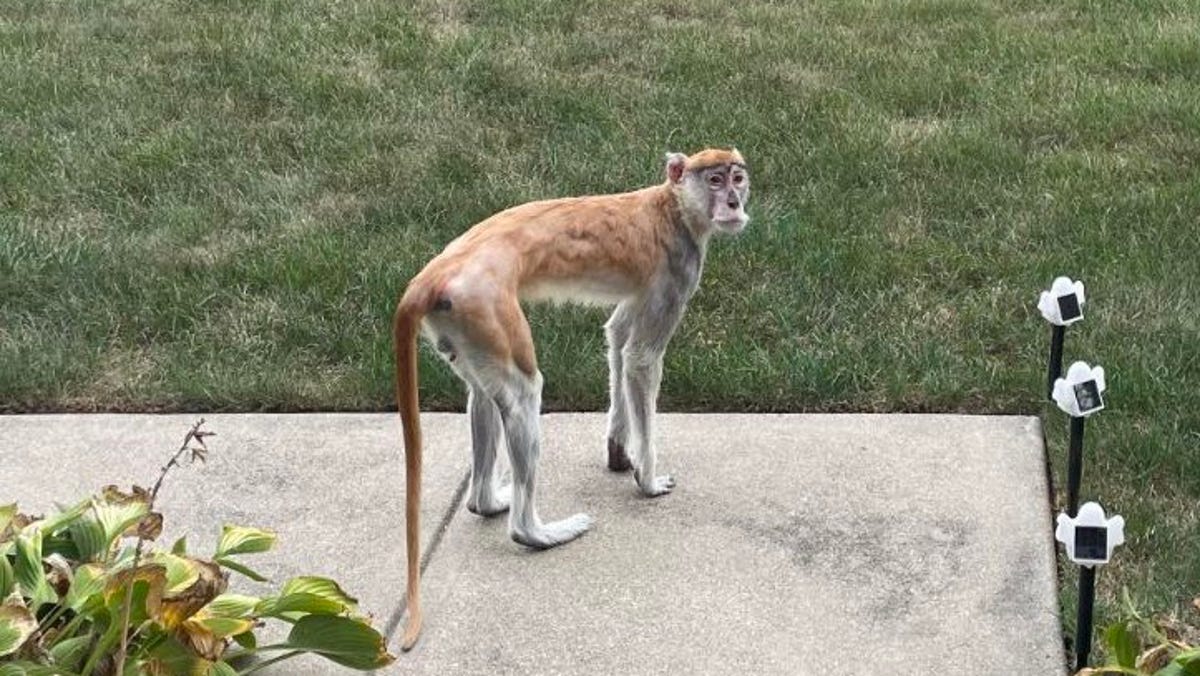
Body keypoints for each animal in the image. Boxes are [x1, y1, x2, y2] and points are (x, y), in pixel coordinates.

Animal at [393, 148, 750, 650]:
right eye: (714, 180)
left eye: (738, 177)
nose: (734, 202)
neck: (672, 205)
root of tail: (434, 276)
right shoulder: (677, 269)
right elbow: (641, 358)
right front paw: (647, 478)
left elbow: (618, 338)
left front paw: (619, 450)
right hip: (486, 308)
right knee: (523, 393)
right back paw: (535, 531)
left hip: (460, 323)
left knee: (482, 396)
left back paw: (487, 501)